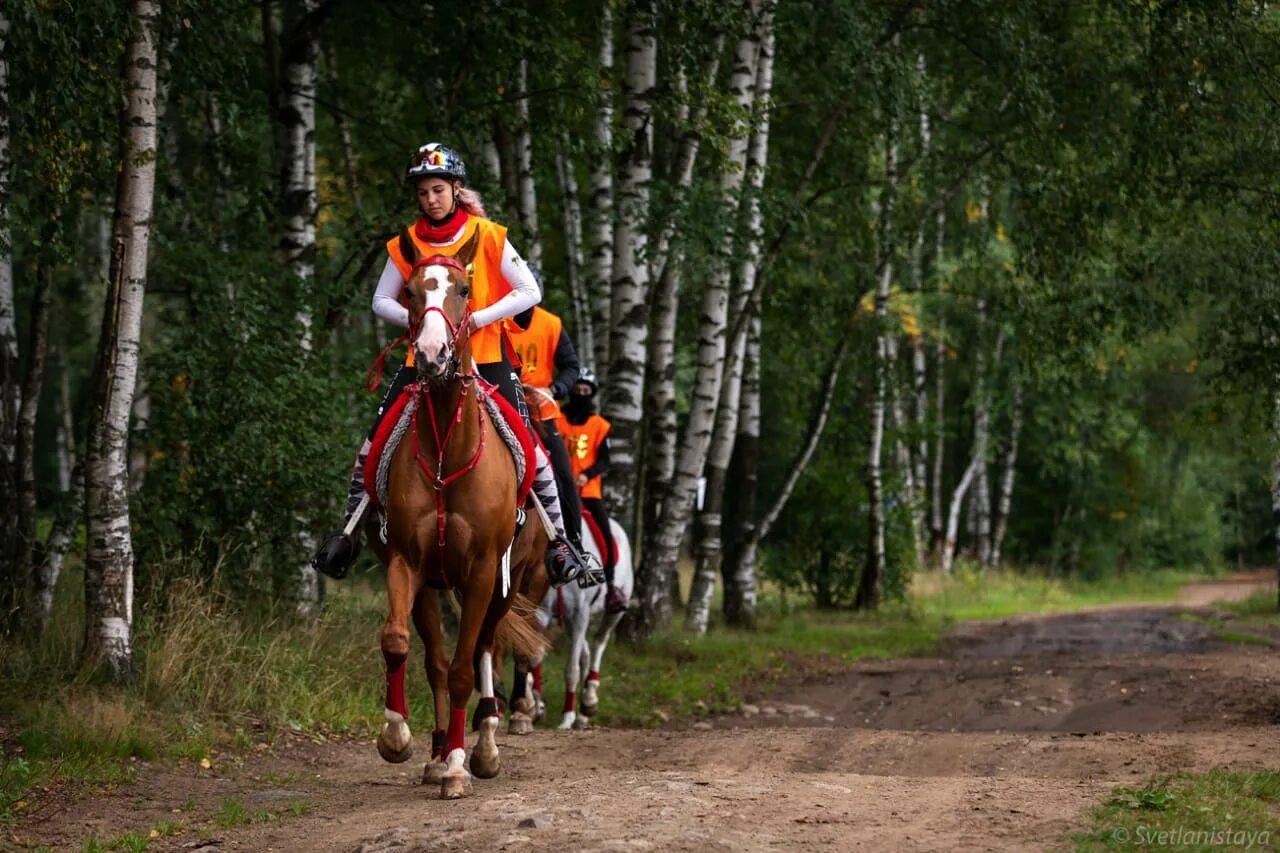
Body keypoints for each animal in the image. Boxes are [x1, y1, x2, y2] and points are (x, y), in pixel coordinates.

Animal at [371, 230, 550, 799]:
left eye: (464, 289)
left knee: (484, 648)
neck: (448, 451)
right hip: (434, 585)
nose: (431, 354)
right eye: (409, 291)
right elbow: (401, 644)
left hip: (509, 583)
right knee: (436, 658)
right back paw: (433, 751)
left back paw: (484, 746)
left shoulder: (483, 573)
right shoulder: (406, 560)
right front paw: (399, 739)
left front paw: (457, 766)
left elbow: (466, 671)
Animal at [537, 514, 632, 727]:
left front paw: (567, 717)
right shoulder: (540, 615)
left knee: (599, 643)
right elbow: (533, 658)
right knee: (585, 653)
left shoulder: (579, 614)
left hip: (612, 614)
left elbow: (571, 669)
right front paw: (536, 707)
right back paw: (583, 712)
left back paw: (589, 699)